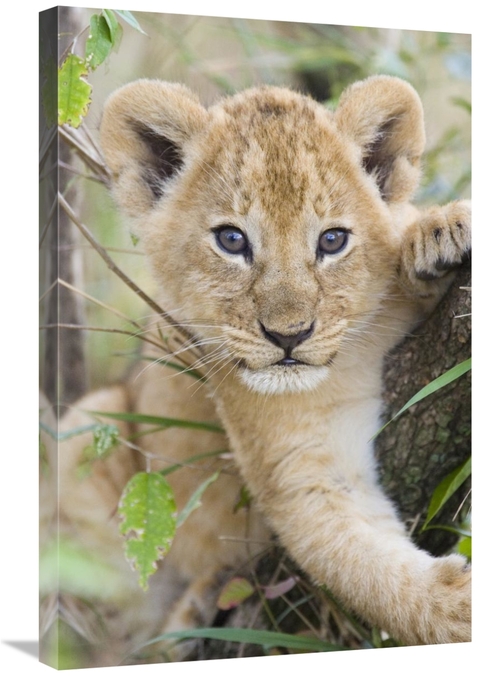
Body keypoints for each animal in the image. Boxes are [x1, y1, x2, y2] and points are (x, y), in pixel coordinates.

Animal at [43, 75, 471, 666]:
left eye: (332, 240)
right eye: (232, 240)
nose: (288, 336)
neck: (354, 354)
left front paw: (441, 236)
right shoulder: (303, 469)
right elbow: (380, 580)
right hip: (89, 427)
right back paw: (189, 615)